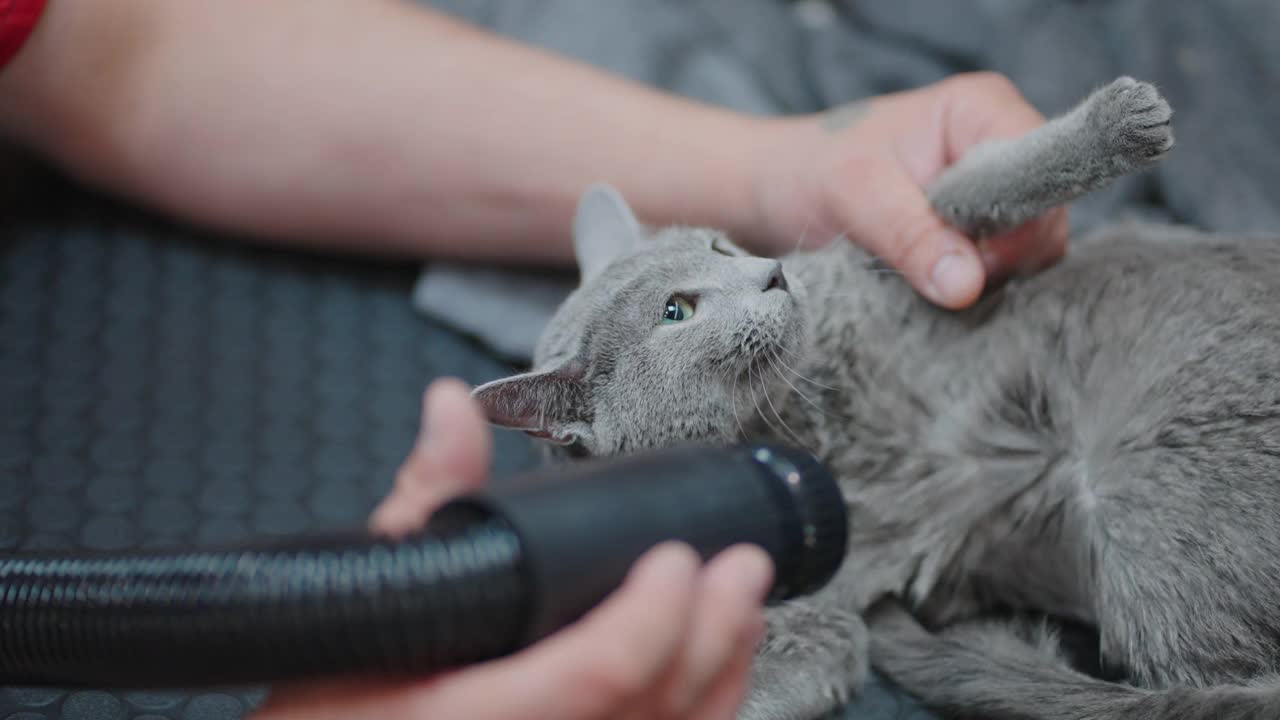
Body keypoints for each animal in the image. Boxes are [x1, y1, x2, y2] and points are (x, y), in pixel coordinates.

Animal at [468, 78, 1280, 717]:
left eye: (720, 247)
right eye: (676, 311)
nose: (773, 272)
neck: (808, 419)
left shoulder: (891, 253)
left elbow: (983, 188)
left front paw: (1122, 119)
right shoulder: (814, 605)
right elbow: (814, 657)